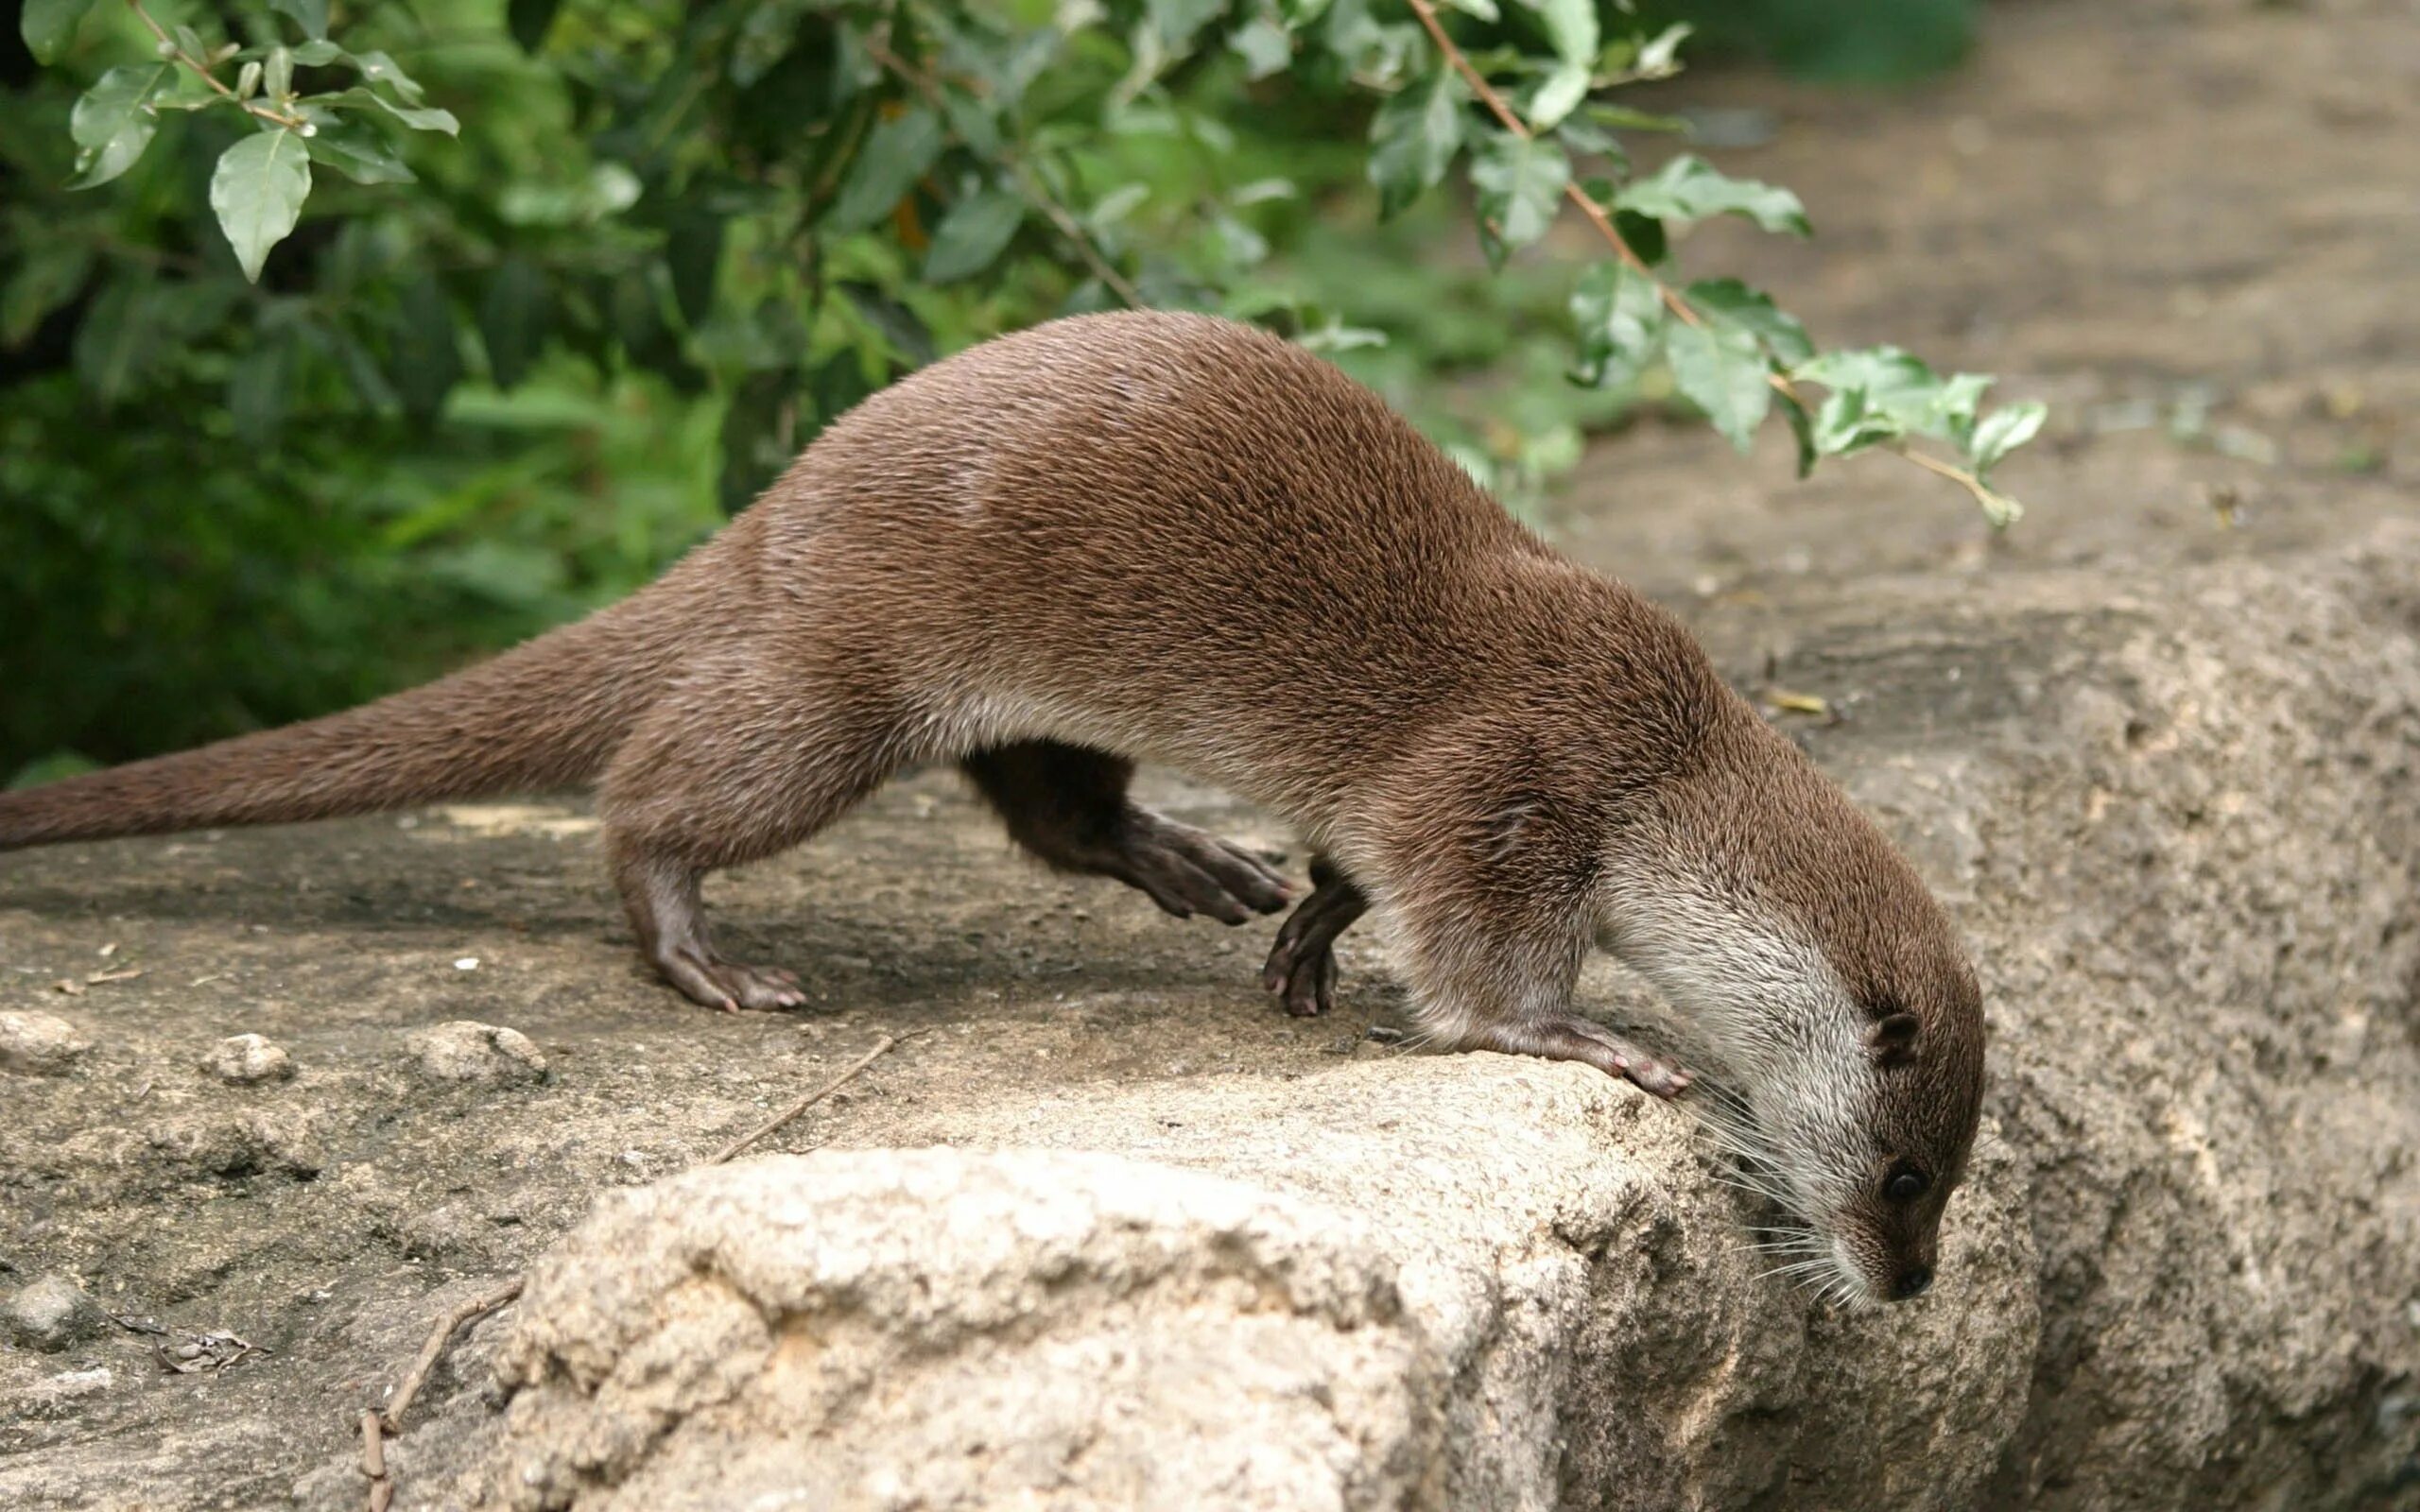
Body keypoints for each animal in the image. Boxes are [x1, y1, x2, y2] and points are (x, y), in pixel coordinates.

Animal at [0, 309, 1984, 1297]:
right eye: (1901, 1173)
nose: (1907, 1287)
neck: (1669, 760)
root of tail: (785, 505)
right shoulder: (1509, 778)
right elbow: (1479, 967)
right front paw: (1596, 1043)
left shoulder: (1452, 794)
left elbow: (1359, 868)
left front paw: (1308, 933)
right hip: (840, 680)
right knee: (657, 789)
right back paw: (704, 955)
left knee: (1044, 805)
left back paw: (1189, 861)